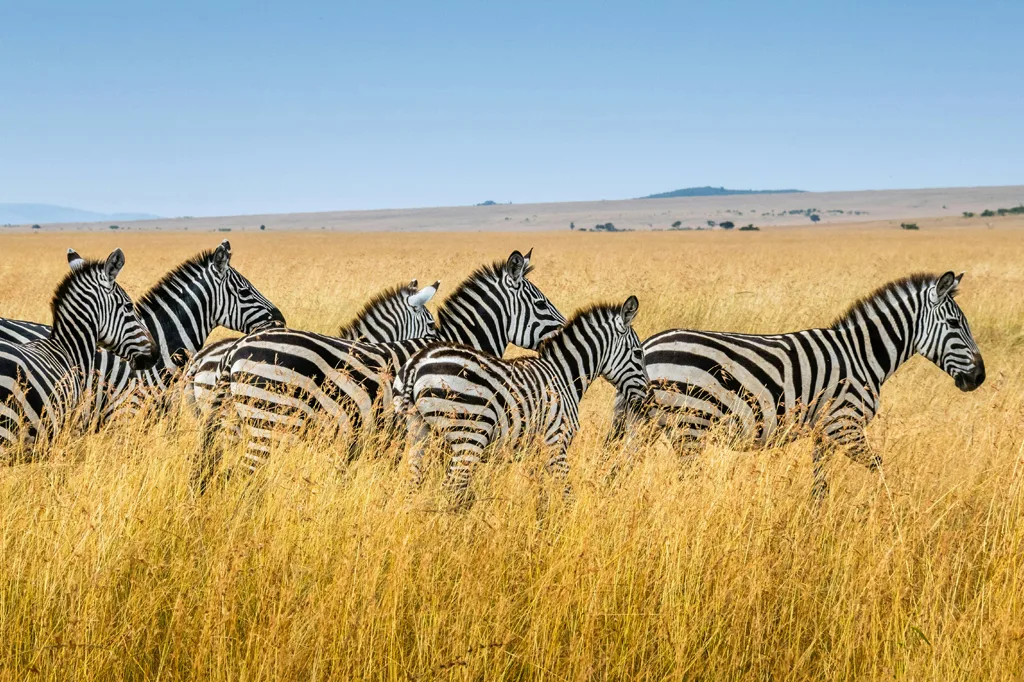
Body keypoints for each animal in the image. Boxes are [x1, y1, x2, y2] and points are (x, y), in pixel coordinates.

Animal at [399, 296, 646, 504]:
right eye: (637, 353)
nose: (646, 397)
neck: (564, 376)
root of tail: (417, 363)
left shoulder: (535, 450)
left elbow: (541, 495)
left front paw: (542, 524)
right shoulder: (556, 442)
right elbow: (566, 493)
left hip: (418, 432)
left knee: (413, 485)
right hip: (469, 436)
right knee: (451, 489)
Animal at [618, 271, 985, 497]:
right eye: (955, 324)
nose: (979, 377)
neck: (862, 355)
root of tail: (647, 346)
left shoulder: (825, 431)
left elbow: (820, 486)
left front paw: (815, 526)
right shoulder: (844, 424)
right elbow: (879, 469)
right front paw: (891, 513)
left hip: (646, 426)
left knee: (618, 470)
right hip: (689, 425)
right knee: (684, 482)